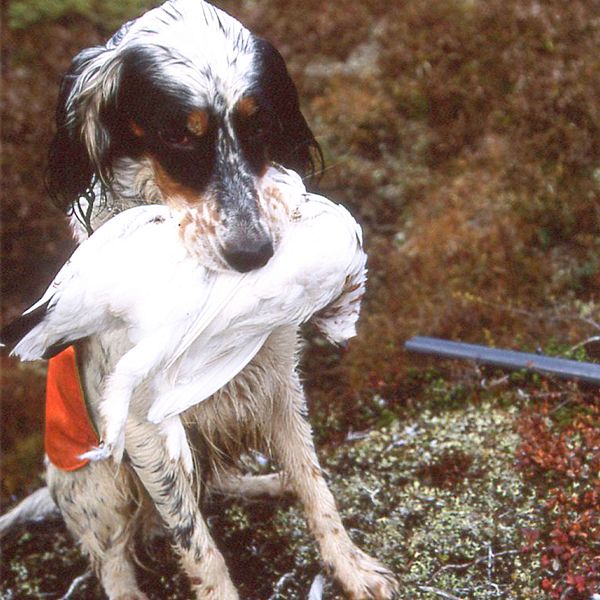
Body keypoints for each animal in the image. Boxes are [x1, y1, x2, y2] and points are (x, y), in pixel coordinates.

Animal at [4, 2, 400, 596]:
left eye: (260, 124)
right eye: (178, 135)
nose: (255, 254)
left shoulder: (279, 384)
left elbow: (315, 487)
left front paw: (352, 569)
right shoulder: (146, 434)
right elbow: (197, 547)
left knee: (223, 484)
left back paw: (265, 482)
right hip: (99, 483)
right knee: (113, 560)